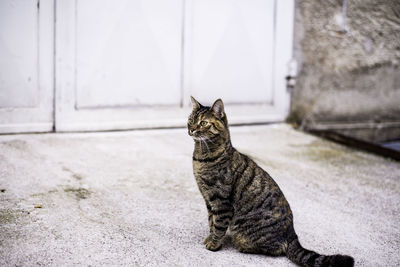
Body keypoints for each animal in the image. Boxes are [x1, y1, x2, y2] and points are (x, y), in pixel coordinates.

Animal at [188, 98, 354, 267]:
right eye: (191, 120)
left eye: (203, 123)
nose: (191, 129)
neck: (202, 157)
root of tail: (292, 235)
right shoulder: (209, 200)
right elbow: (211, 222)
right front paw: (210, 238)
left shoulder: (221, 202)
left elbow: (218, 225)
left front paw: (214, 244)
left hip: (246, 230)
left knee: (275, 249)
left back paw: (244, 246)